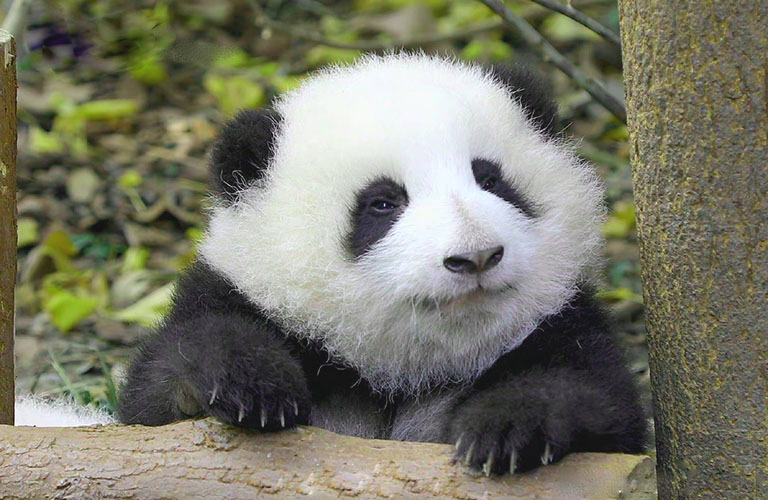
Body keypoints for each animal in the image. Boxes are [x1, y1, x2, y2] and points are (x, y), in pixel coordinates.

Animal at [116, 53, 646, 475]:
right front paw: (252, 386)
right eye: (383, 203)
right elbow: (164, 384)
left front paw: (508, 428)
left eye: (491, 180)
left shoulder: (562, 323)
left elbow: (593, 396)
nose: (476, 256)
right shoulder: (244, 298)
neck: (404, 369)